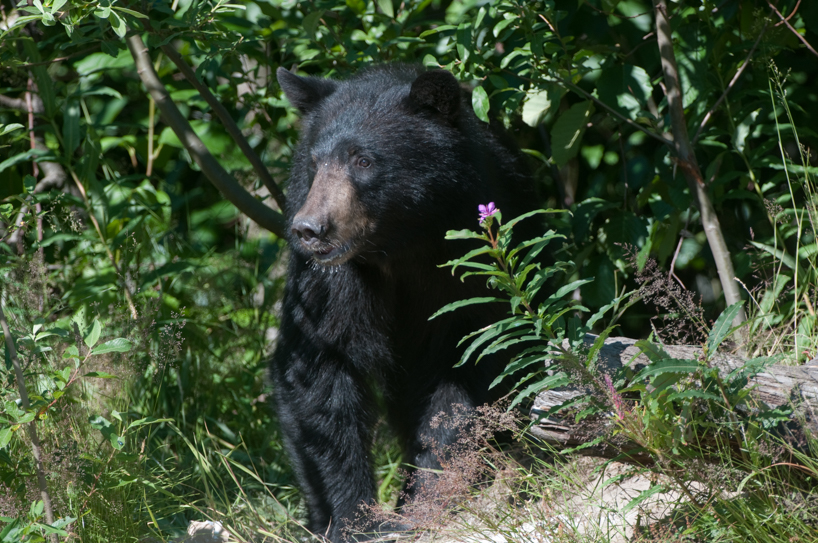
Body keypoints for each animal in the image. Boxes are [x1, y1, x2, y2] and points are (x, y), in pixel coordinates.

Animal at [272, 64, 536, 542]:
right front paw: (352, 517)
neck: (399, 242)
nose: (309, 229)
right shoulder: (328, 281)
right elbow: (318, 370)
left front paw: (426, 501)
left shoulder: (469, 260)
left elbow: (466, 371)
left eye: (363, 160)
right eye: (316, 163)